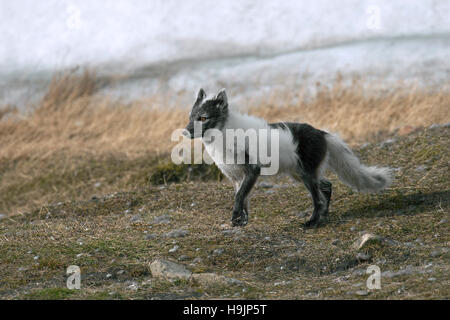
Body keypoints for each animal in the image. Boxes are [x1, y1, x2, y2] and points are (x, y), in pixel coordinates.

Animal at [181, 88, 392, 228]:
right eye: (191, 117)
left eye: (203, 118)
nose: (185, 131)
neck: (222, 139)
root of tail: (321, 132)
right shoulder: (236, 177)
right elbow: (243, 199)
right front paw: (242, 222)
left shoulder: (252, 170)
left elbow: (240, 197)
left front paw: (235, 219)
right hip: (299, 174)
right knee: (327, 186)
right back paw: (324, 216)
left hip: (306, 175)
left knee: (318, 199)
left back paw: (312, 222)